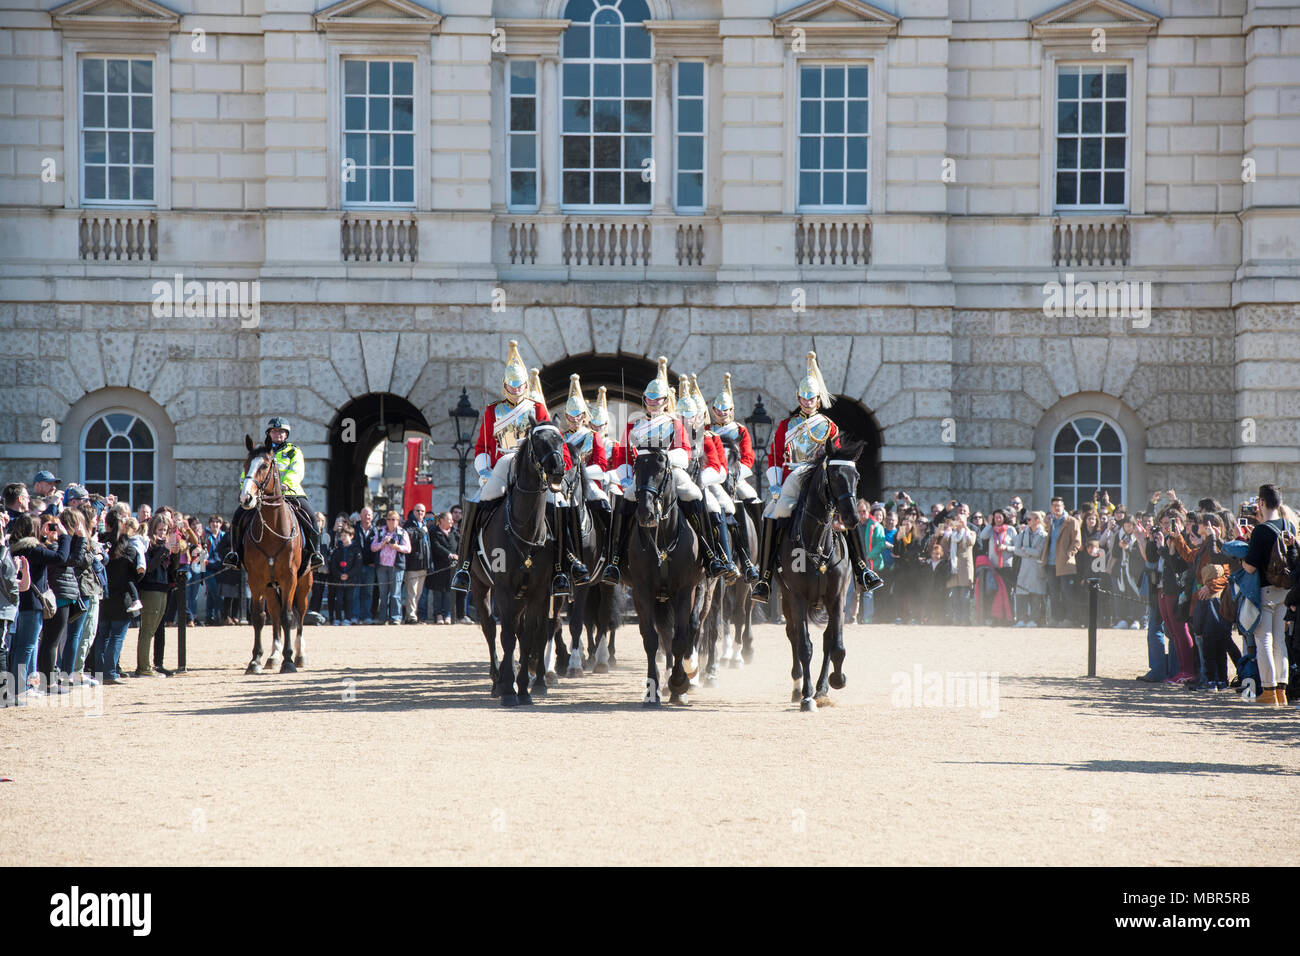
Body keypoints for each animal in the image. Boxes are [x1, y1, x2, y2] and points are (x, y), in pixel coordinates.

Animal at [240, 437, 310, 676]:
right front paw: (255, 660)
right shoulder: (255, 580)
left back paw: (299, 655)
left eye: (264, 466)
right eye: (246, 465)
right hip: (271, 585)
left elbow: (289, 617)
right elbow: (259, 618)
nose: (246, 498)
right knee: (275, 613)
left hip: (305, 583)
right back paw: (273, 656)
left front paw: (289, 660)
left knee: (299, 613)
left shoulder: (290, 579)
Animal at [470, 421, 566, 707]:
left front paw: (523, 688)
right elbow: (507, 636)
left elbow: (527, 635)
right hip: (480, 586)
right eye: (539, 442)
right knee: (490, 629)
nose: (558, 469)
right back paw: (496, 680)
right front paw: (508, 689)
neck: (526, 529)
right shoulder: (503, 590)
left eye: (561, 440)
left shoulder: (539, 592)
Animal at [626, 447, 707, 702]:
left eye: (662, 469)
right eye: (636, 468)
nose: (646, 512)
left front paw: (680, 683)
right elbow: (651, 639)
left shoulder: (687, 590)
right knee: (664, 634)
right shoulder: (641, 592)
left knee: (688, 628)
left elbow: (682, 636)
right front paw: (652, 690)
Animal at [774, 442, 868, 712]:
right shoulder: (797, 597)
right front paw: (806, 696)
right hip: (786, 598)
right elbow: (804, 646)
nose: (852, 518)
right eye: (834, 477)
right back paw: (799, 687)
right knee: (793, 635)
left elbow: (836, 645)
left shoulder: (837, 597)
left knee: (826, 639)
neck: (816, 542)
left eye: (856, 476)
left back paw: (822, 688)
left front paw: (835, 681)